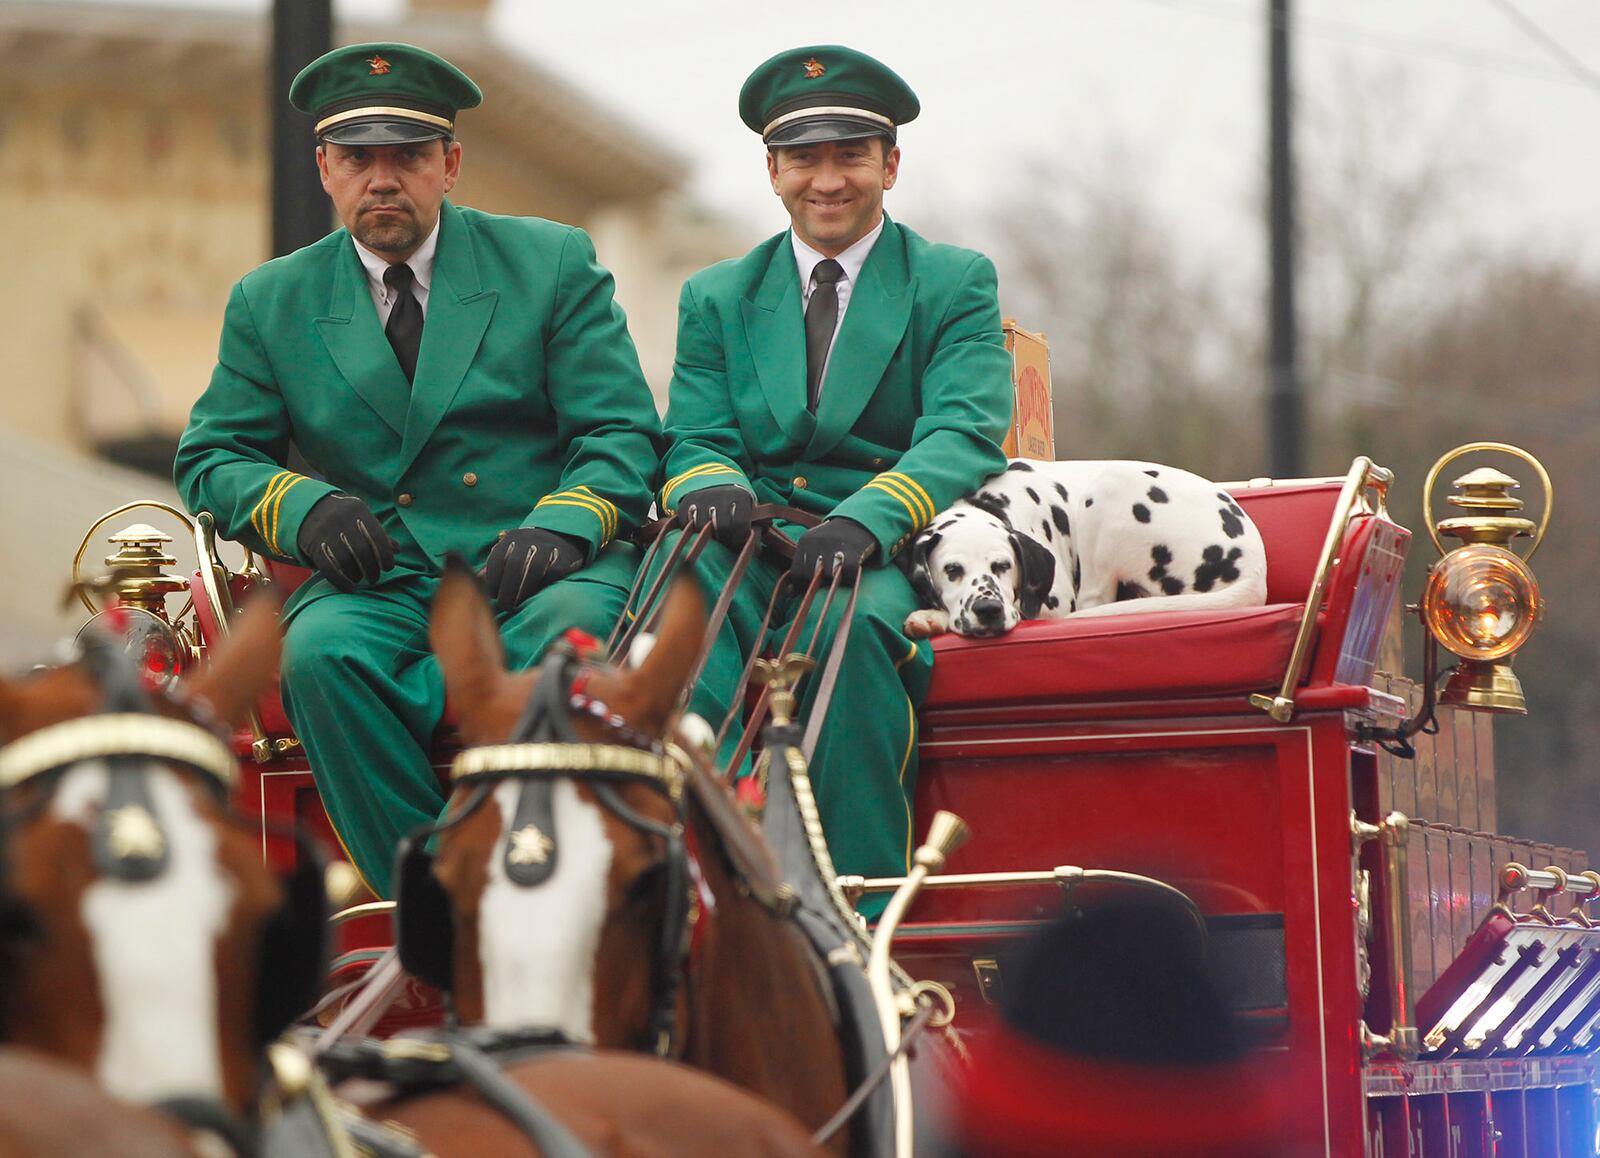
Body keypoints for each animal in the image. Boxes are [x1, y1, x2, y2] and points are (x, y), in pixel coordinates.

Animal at [908, 460, 1267, 636]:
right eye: (952, 570)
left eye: (1003, 565)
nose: (988, 610)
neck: (988, 502)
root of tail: (1253, 571)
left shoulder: (1054, 602)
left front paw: (932, 615)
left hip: (1109, 486)